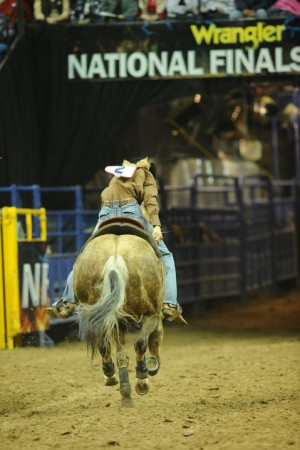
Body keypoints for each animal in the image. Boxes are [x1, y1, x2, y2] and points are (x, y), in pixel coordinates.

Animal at [73, 218, 165, 408]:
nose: (155, 365)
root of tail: (115, 258)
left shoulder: (117, 323)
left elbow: (121, 355)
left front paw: (125, 393)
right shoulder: (153, 315)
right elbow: (144, 342)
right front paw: (142, 380)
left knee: (104, 346)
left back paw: (112, 378)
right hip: (150, 312)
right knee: (140, 343)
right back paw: (141, 378)